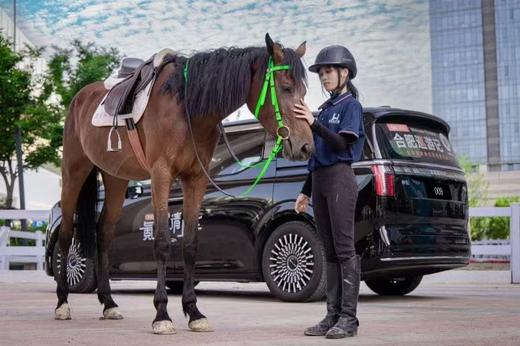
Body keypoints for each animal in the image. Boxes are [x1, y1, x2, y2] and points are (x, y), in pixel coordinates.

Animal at [55, 33, 316, 334]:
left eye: (304, 92)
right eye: (286, 87)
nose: (306, 146)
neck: (187, 107)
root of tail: (79, 98)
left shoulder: (195, 179)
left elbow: (190, 244)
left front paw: (193, 311)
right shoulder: (161, 174)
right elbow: (162, 242)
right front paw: (162, 314)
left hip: (115, 179)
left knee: (104, 234)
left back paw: (109, 304)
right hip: (74, 172)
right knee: (65, 235)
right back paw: (62, 303)